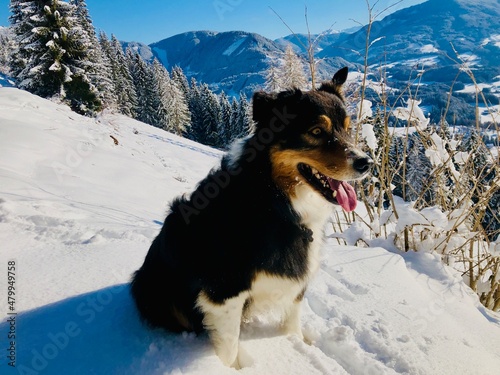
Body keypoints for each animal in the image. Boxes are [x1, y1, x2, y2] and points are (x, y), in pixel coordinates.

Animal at [131, 67, 374, 368]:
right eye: (316, 131)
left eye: (347, 128)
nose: (366, 163)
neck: (274, 202)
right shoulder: (224, 290)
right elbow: (228, 345)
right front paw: (231, 367)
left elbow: (293, 319)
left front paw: (294, 340)